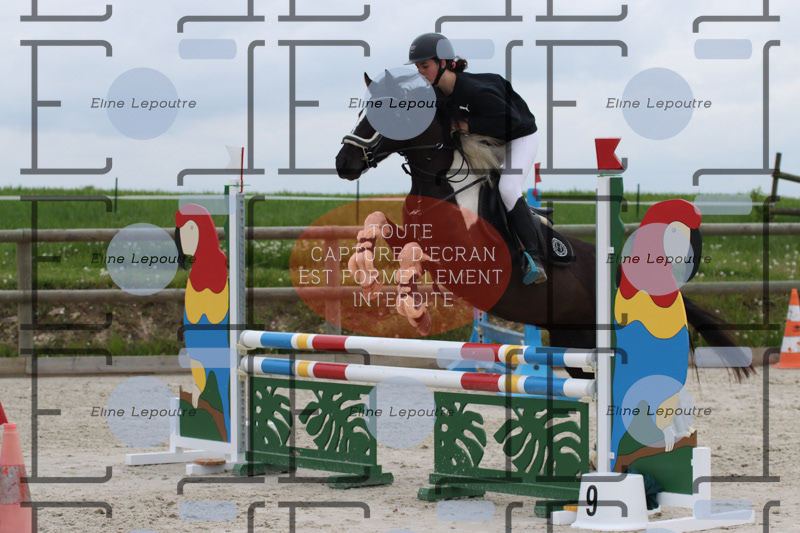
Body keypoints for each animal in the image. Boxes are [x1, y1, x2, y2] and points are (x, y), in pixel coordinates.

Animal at [335, 72, 753, 381]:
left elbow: (413, 253)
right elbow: (379, 225)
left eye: (387, 111)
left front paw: (415, 310)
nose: (344, 163)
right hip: (575, 339)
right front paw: (367, 275)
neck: (440, 184)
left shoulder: (468, 261)